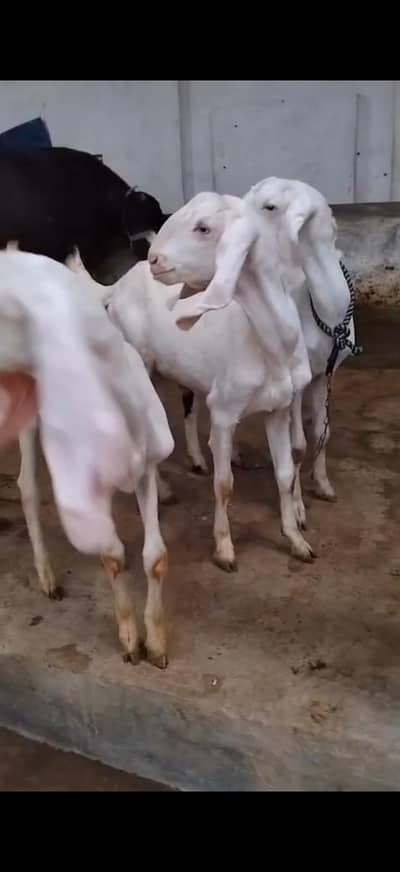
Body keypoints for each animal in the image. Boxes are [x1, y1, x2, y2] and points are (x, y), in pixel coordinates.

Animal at [0, 248, 174, 667]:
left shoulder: (144, 468)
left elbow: (155, 556)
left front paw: (157, 643)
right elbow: (113, 556)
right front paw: (129, 639)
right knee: (28, 485)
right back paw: (47, 576)